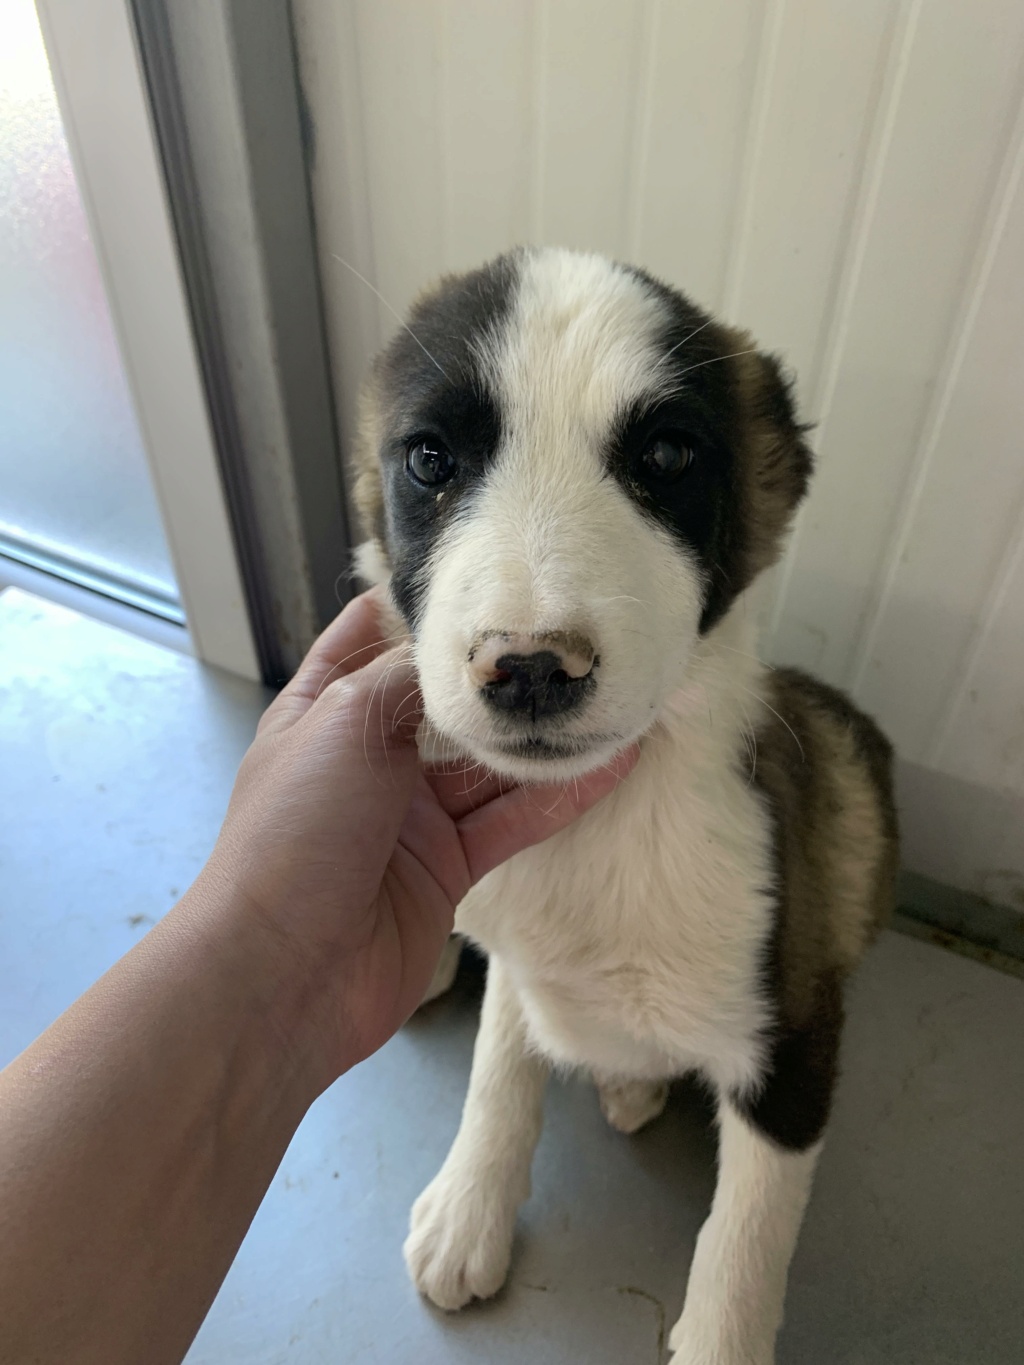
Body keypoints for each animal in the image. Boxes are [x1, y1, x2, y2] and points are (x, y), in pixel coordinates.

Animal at [352, 248, 895, 1365]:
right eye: (430, 460)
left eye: (669, 455)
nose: (528, 668)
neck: (597, 827)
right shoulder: (518, 954)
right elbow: (499, 1072)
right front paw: (469, 1207)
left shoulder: (793, 1044)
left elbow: (743, 1242)